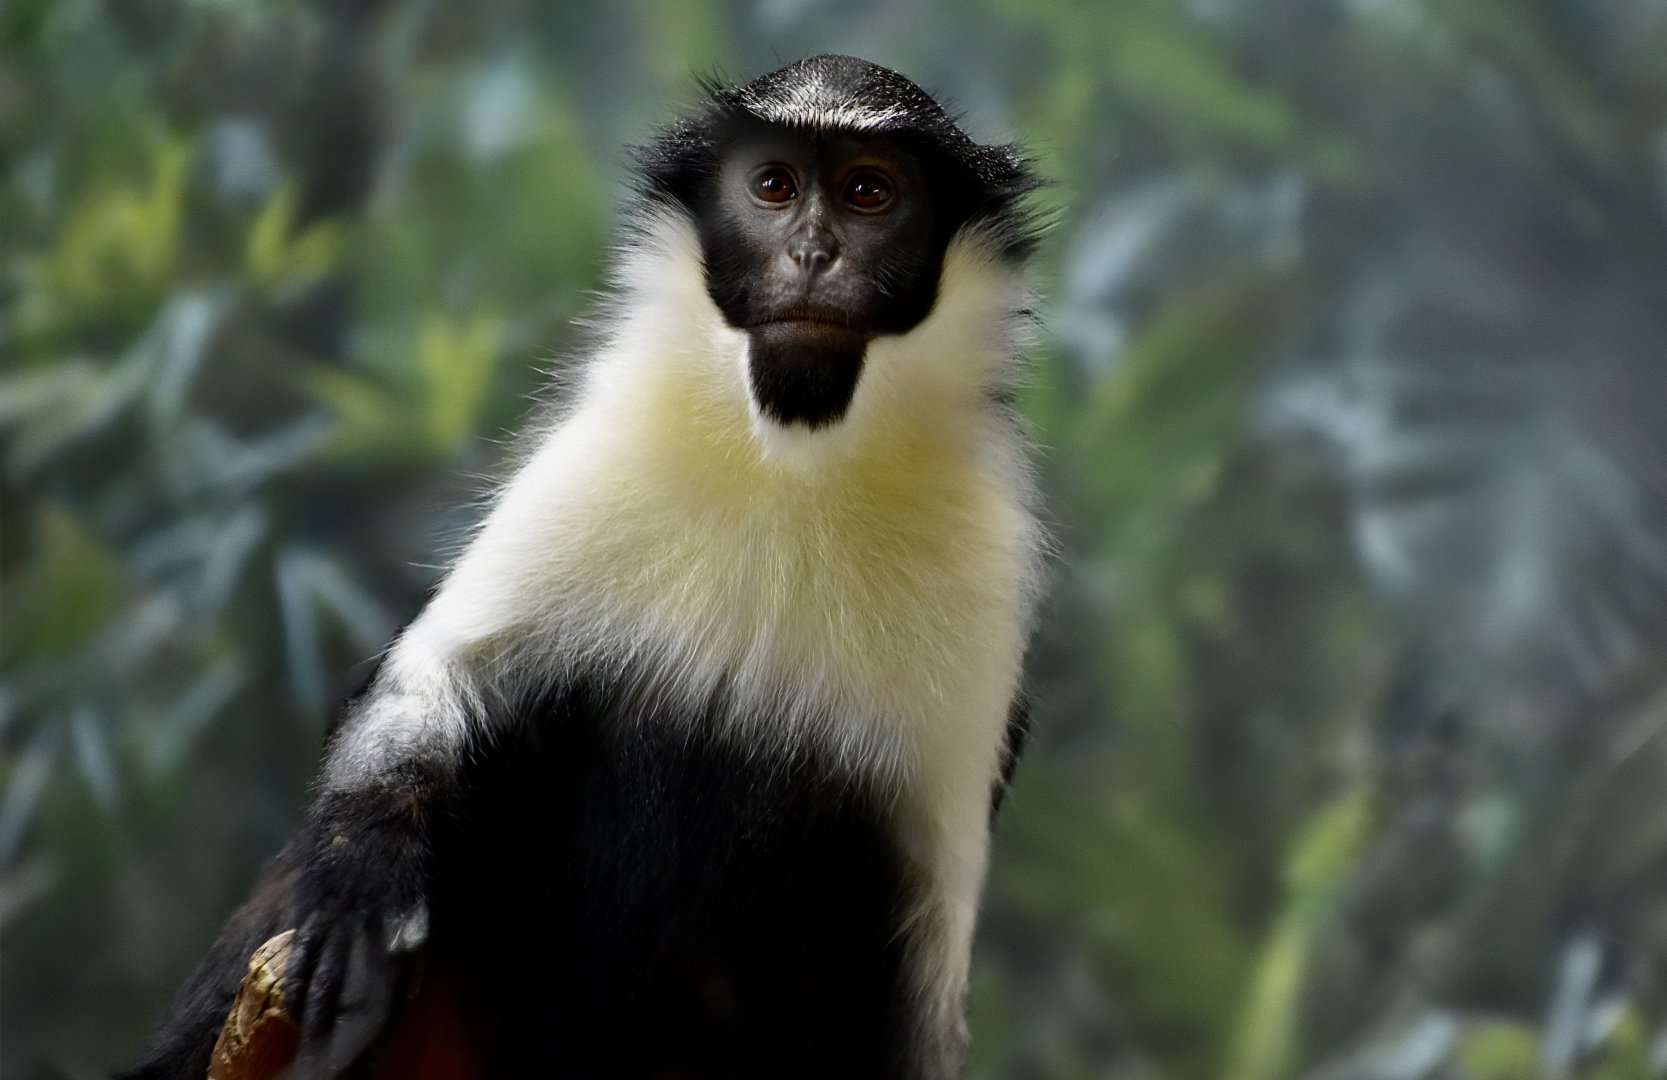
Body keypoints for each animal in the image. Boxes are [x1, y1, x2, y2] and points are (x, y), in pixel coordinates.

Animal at [121, 54, 1044, 1080]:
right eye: (774, 186)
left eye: (868, 192)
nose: (812, 254)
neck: (796, 462)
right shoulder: (599, 451)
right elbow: (434, 685)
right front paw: (361, 889)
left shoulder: (989, 569)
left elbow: (917, 943)